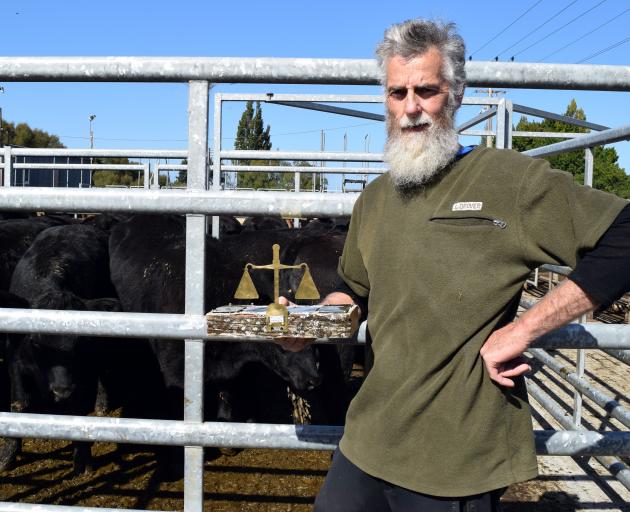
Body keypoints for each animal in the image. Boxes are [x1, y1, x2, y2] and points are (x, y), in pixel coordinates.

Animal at [2, 226, 121, 474]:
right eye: (36, 342)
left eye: (79, 343)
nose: (61, 390)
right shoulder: (14, 359)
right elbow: (19, 403)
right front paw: (8, 455)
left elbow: (78, 408)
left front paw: (82, 459)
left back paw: (102, 405)